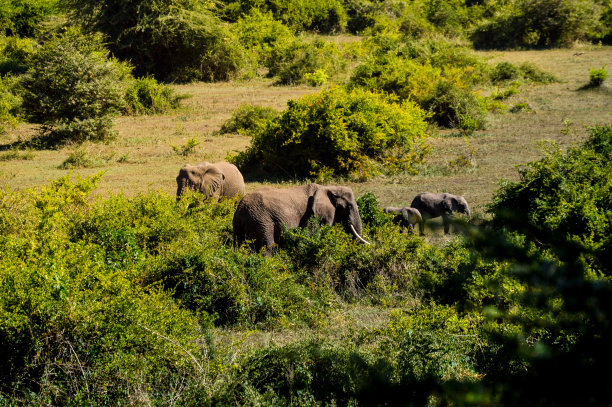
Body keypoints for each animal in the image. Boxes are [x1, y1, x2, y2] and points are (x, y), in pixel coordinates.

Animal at [233, 184, 368, 255]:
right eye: (349, 206)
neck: (329, 187)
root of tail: (240, 211)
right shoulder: (311, 215)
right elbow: (310, 234)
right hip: (261, 221)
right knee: (267, 247)